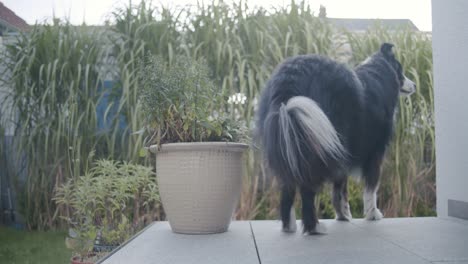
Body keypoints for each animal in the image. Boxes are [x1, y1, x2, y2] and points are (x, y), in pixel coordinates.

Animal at [258, 43, 414, 235]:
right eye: (400, 70)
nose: (414, 85)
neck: (379, 71)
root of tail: (289, 79)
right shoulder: (375, 151)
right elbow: (371, 187)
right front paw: (373, 214)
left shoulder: (343, 151)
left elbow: (340, 188)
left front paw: (343, 215)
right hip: (313, 138)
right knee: (307, 187)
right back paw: (314, 226)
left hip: (289, 139)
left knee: (288, 182)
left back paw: (289, 226)